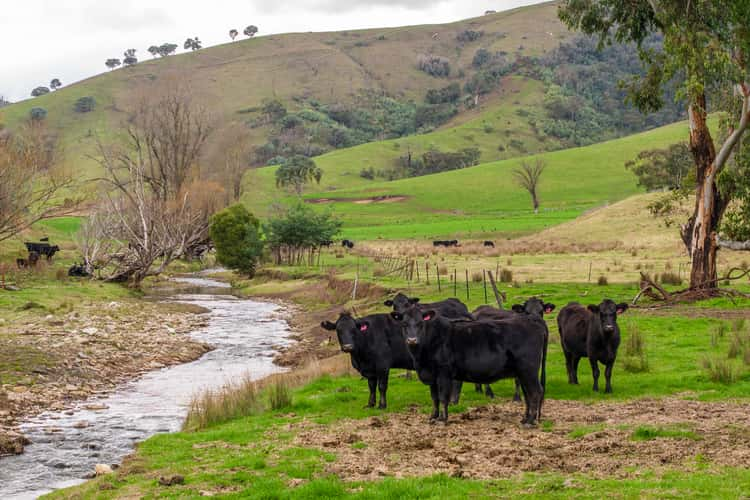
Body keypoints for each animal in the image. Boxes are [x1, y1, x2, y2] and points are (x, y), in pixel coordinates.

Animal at [396, 308, 548, 426]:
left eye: (420, 323)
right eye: (404, 324)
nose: (412, 340)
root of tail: (532, 319)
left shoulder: (444, 373)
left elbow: (443, 397)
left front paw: (442, 419)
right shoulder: (432, 375)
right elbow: (435, 398)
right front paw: (433, 417)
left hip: (528, 369)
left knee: (536, 391)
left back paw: (530, 421)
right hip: (522, 373)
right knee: (528, 394)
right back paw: (525, 419)